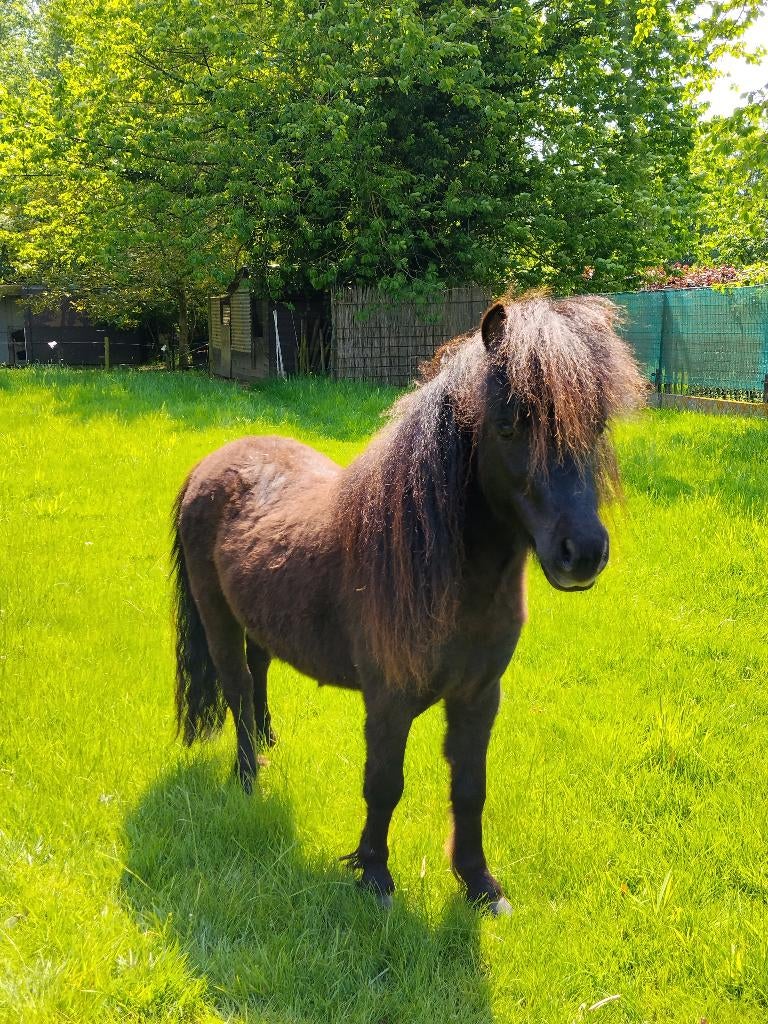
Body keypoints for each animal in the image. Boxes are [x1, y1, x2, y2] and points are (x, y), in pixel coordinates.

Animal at [171, 292, 646, 914]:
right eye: (509, 425)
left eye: (595, 424)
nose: (583, 553)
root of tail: (213, 462)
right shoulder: (388, 699)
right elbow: (383, 785)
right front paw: (374, 876)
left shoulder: (478, 696)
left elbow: (470, 788)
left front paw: (479, 884)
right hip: (218, 620)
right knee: (238, 690)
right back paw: (250, 779)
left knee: (258, 673)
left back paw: (272, 742)